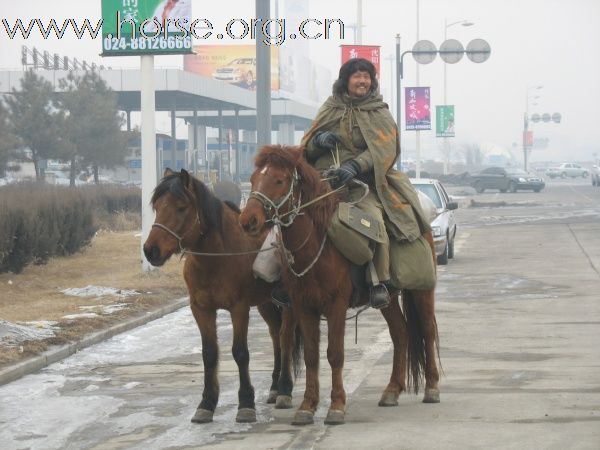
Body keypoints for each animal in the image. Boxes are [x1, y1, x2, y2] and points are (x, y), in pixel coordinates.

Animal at [143, 169, 298, 426]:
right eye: (156, 206)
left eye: (181, 207)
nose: (150, 250)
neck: (218, 256)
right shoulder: (201, 309)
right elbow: (209, 354)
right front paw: (206, 403)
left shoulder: (239, 308)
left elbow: (240, 353)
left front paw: (246, 403)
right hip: (266, 303)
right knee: (276, 335)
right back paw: (275, 387)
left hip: (288, 302)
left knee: (285, 338)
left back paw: (285, 389)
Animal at [239, 147, 440, 426]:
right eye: (253, 178)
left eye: (279, 180)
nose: (248, 220)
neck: (318, 245)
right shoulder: (304, 306)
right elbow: (312, 355)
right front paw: (307, 407)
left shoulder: (336, 305)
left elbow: (334, 354)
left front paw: (336, 406)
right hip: (388, 299)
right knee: (400, 332)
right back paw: (391, 391)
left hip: (422, 289)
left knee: (428, 330)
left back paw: (432, 388)